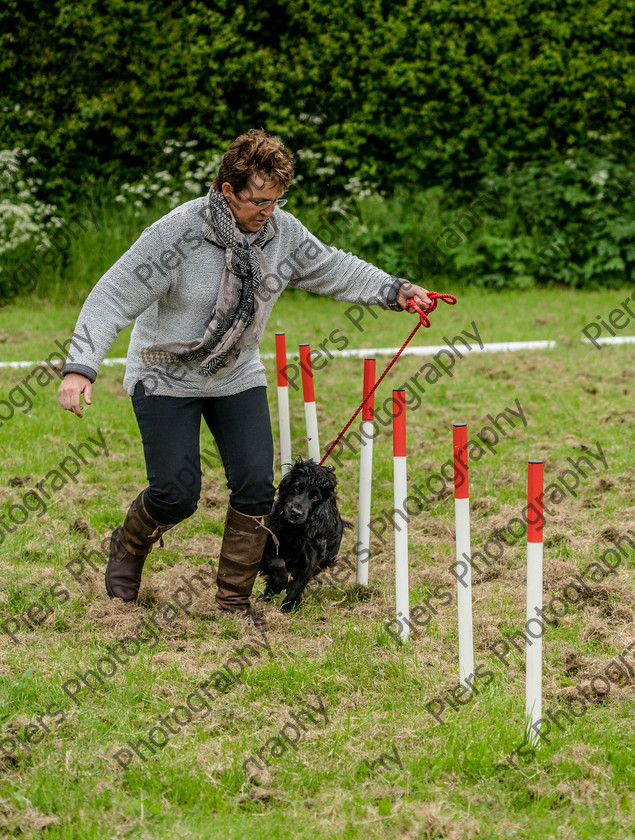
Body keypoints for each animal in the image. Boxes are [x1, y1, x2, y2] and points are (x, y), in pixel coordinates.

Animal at [258, 460, 350, 612]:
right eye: (296, 487)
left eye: (316, 497)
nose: (296, 512)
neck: (293, 531)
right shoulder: (269, 544)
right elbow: (278, 563)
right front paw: (278, 582)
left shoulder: (309, 565)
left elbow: (295, 589)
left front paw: (285, 610)